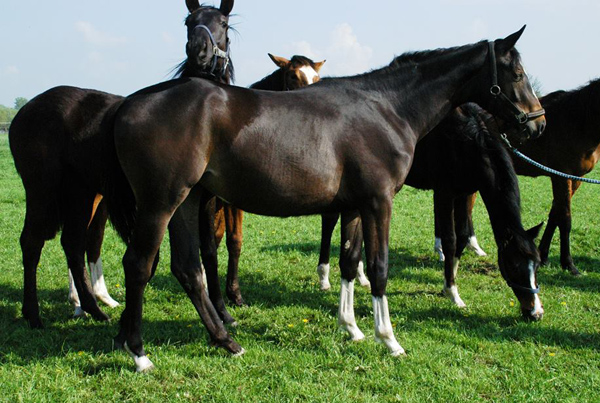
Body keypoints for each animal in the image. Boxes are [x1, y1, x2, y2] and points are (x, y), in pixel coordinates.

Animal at [9, 0, 236, 330]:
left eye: (223, 21)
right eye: (188, 21)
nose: (198, 50)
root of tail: (23, 111)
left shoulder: (204, 201)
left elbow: (207, 252)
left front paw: (222, 311)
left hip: (80, 193)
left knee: (73, 245)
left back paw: (93, 309)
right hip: (42, 190)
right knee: (31, 242)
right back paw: (34, 314)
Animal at [318, 102, 544, 314]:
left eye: (537, 263)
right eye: (514, 265)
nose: (536, 312)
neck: (467, 137)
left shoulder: (465, 192)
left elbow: (462, 236)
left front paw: (448, 283)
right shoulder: (444, 193)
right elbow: (450, 240)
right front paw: (452, 292)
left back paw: (361, 276)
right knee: (329, 222)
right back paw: (324, 277)